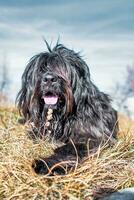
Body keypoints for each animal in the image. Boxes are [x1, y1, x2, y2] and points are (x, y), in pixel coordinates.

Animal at [16, 42, 118, 175]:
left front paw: (47, 164)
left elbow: (70, 148)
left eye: (63, 69)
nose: (49, 79)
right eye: (41, 69)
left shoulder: (96, 137)